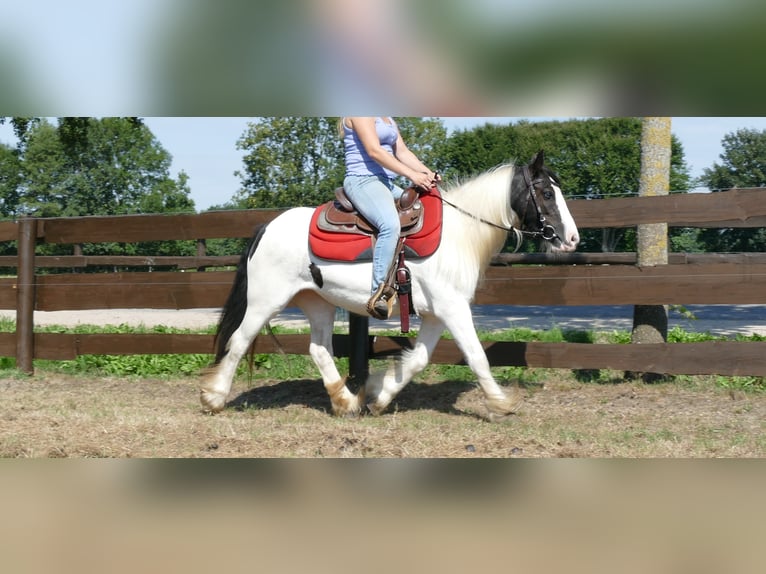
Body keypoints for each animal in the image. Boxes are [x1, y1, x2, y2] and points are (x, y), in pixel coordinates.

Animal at [201, 152, 580, 424]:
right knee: (239, 341)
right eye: (547, 193)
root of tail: (265, 228)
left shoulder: (437, 314)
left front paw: (378, 396)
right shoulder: (453, 308)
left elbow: (419, 360)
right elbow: (477, 357)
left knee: (319, 349)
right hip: (265, 301)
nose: (572, 239)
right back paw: (214, 397)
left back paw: (346, 402)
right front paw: (501, 404)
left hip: (318, 302)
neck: (458, 234)